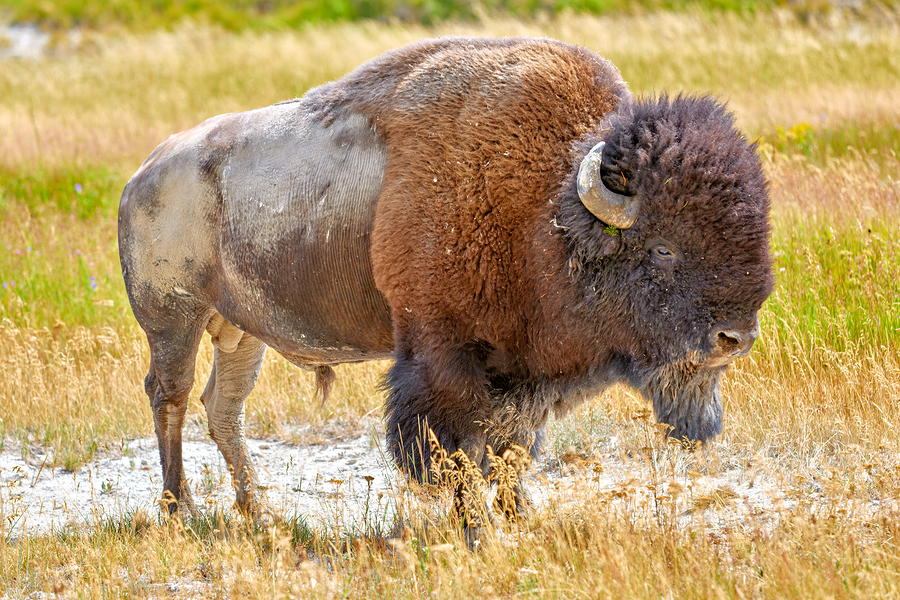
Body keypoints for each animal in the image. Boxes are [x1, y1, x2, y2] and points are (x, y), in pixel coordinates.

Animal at [118, 36, 774, 519]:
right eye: (663, 250)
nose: (734, 338)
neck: (547, 209)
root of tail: (142, 174)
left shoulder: (521, 373)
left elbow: (513, 449)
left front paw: (518, 518)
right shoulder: (443, 356)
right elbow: (456, 450)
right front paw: (473, 528)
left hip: (240, 332)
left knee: (223, 406)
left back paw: (259, 511)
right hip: (173, 319)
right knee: (171, 396)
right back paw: (182, 511)